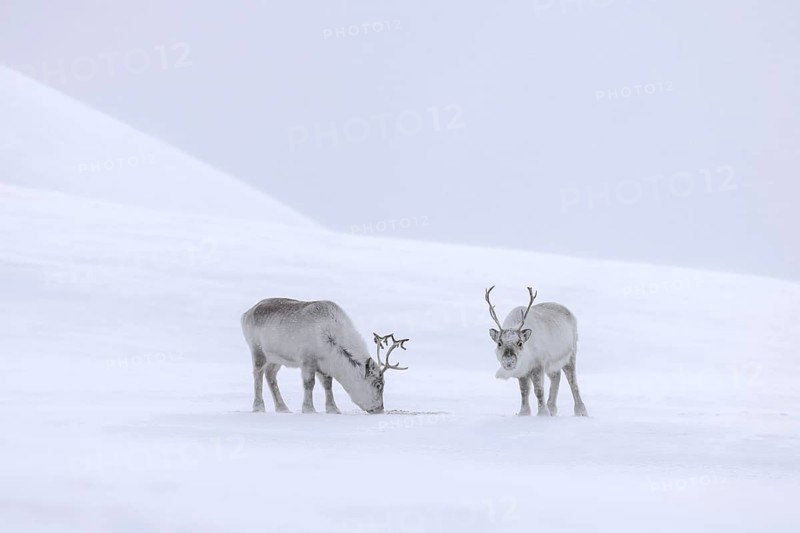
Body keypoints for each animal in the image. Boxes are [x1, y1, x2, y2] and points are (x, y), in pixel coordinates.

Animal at [240, 298, 409, 414]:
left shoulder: (325, 366)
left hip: (276, 358)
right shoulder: (307, 361)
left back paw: (283, 408)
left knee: (270, 375)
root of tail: (246, 313)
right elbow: (309, 384)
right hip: (257, 350)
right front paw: (309, 409)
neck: (332, 341)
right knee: (257, 374)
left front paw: (333, 409)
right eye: (378, 385)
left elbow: (328, 385)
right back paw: (258, 407)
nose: (379, 409)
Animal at [485, 286, 587, 417]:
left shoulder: (538, 365)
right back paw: (552, 408)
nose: (508, 361)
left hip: (570, 355)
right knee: (556, 377)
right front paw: (524, 413)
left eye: (520, 343)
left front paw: (543, 413)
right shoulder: (522, 372)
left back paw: (581, 411)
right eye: (499, 343)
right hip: (552, 364)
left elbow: (539, 390)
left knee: (572, 381)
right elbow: (524, 391)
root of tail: (570, 312)